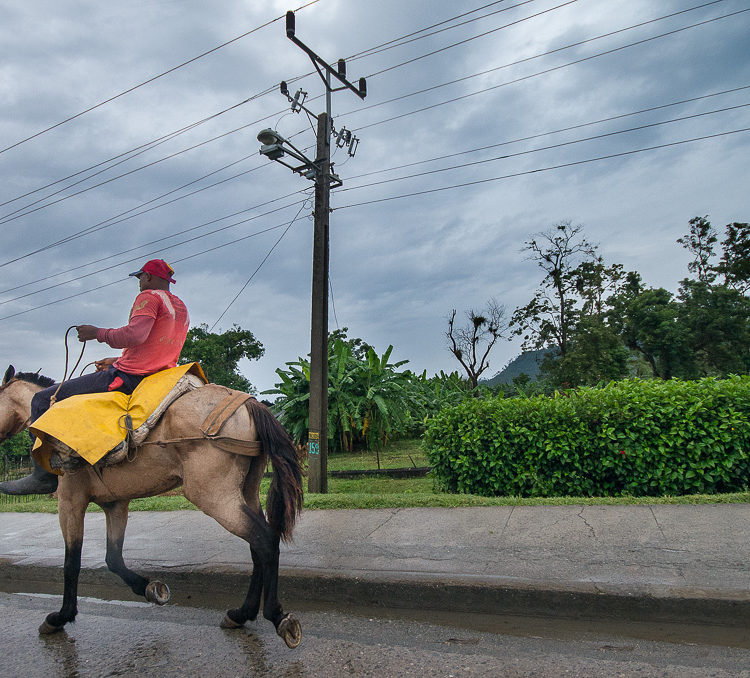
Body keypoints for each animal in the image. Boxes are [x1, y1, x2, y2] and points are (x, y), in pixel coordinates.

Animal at [1, 366, 306, 648]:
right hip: (246, 491)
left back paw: (277, 617)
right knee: (258, 545)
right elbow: (113, 558)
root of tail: (247, 404)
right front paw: (149, 588)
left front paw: (61, 617)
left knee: (264, 540)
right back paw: (242, 613)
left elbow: (71, 563)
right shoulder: (115, 504)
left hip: (215, 496)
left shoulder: (70, 501)